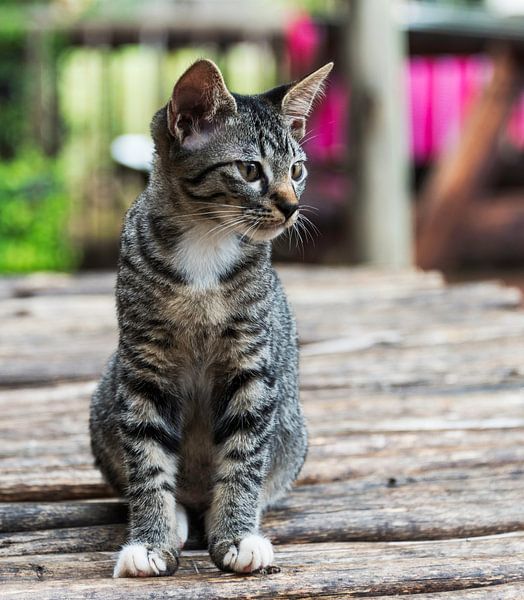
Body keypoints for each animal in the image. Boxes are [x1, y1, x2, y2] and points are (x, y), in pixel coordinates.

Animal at [89, 57, 332, 576]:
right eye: (249, 169)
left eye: (298, 169)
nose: (292, 206)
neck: (205, 242)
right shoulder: (144, 366)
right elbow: (147, 457)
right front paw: (151, 540)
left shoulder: (252, 364)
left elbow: (244, 456)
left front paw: (237, 535)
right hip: (104, 402)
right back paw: (180, 516)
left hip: (293, 429)